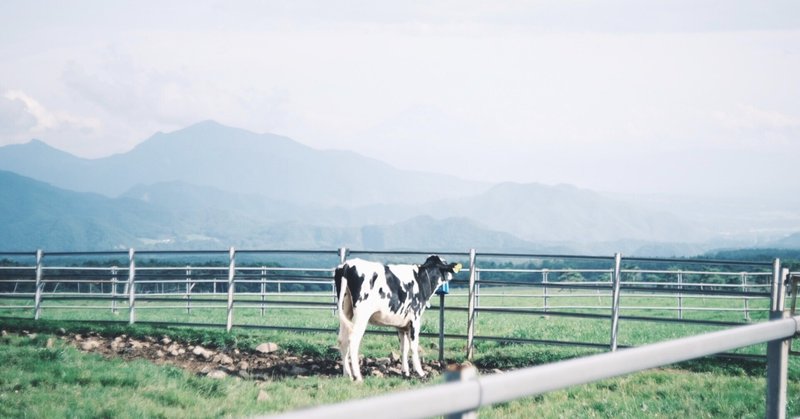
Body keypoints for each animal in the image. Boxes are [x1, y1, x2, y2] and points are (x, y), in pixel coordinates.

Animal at [332, 254, 462, 382]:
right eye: (445, 263)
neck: (421, 279)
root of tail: (347, 264)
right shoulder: (415, 319)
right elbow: (414, 346)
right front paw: (420, 373)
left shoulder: (402, 325)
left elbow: (404, 347)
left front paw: (406, 373)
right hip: (361, 315)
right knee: (353, 341)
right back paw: (358, 377)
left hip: (346, 310)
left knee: (342, 340)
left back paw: (347, 374)